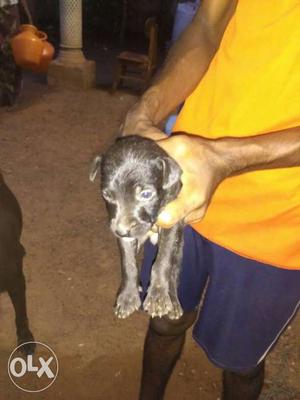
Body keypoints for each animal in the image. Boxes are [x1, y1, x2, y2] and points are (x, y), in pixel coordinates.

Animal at [89, 136, 183, 320]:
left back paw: (174, 301)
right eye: (106, 195)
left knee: (174, 269)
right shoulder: (125, 236)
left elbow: (163, 260)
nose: (120, 231)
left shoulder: (171, 221)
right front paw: (127, 296)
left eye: (146, 194)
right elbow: (129, 264)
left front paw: (158, 297)